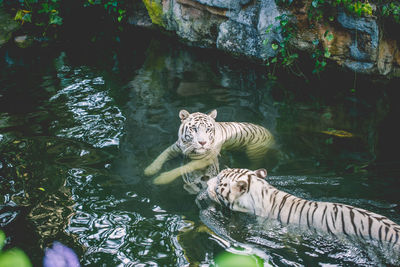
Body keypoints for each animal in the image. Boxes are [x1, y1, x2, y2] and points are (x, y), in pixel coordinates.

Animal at [145, 110, 276, 189]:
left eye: (208, 129)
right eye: (194, 129)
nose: (202, 142)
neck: (187, 144)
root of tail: (271, 134)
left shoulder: (205, 159)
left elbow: (181, 169)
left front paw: (160, 179)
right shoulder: (174, 147)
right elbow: (161, 156)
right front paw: (149, 170)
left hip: (253, 151)